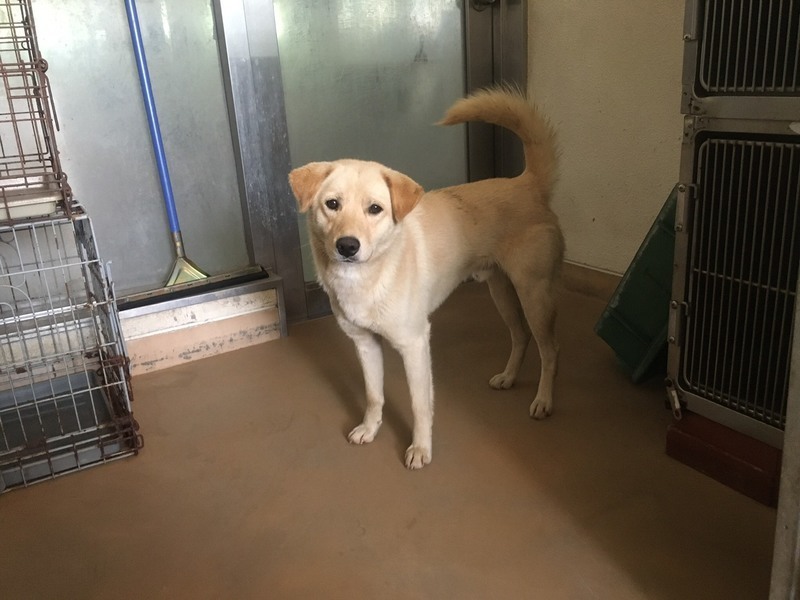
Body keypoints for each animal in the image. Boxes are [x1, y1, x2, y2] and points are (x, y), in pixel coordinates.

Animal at [288, 87, 563, 470]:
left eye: (375, 209)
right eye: (332, 204)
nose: (347, 246)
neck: (370, 276)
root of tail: (527, 183)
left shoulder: (415, 344)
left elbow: (420, 406)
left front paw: (420, 449)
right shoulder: (365, 344)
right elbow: (374, 395)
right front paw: (370, 428)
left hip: (534, 294)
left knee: (549, 350)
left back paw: (543, 400)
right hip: (501, 291)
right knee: (520, 337)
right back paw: (509, 377)